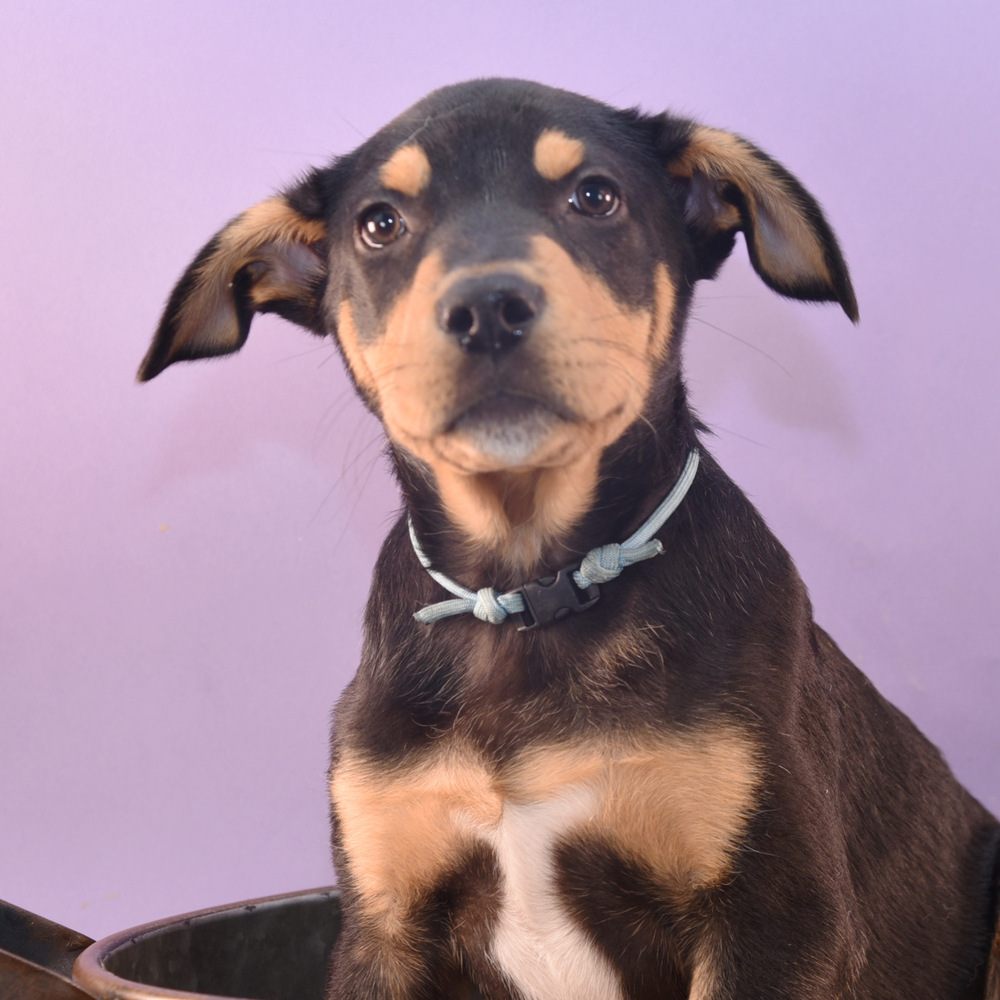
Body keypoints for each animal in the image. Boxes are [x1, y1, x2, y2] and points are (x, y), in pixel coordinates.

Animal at [137, 80, 996, 1000]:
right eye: (380, 223)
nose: (486, 310)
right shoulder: (385, 922)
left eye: (595, 196)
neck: (530, 591)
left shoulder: (776, 915)